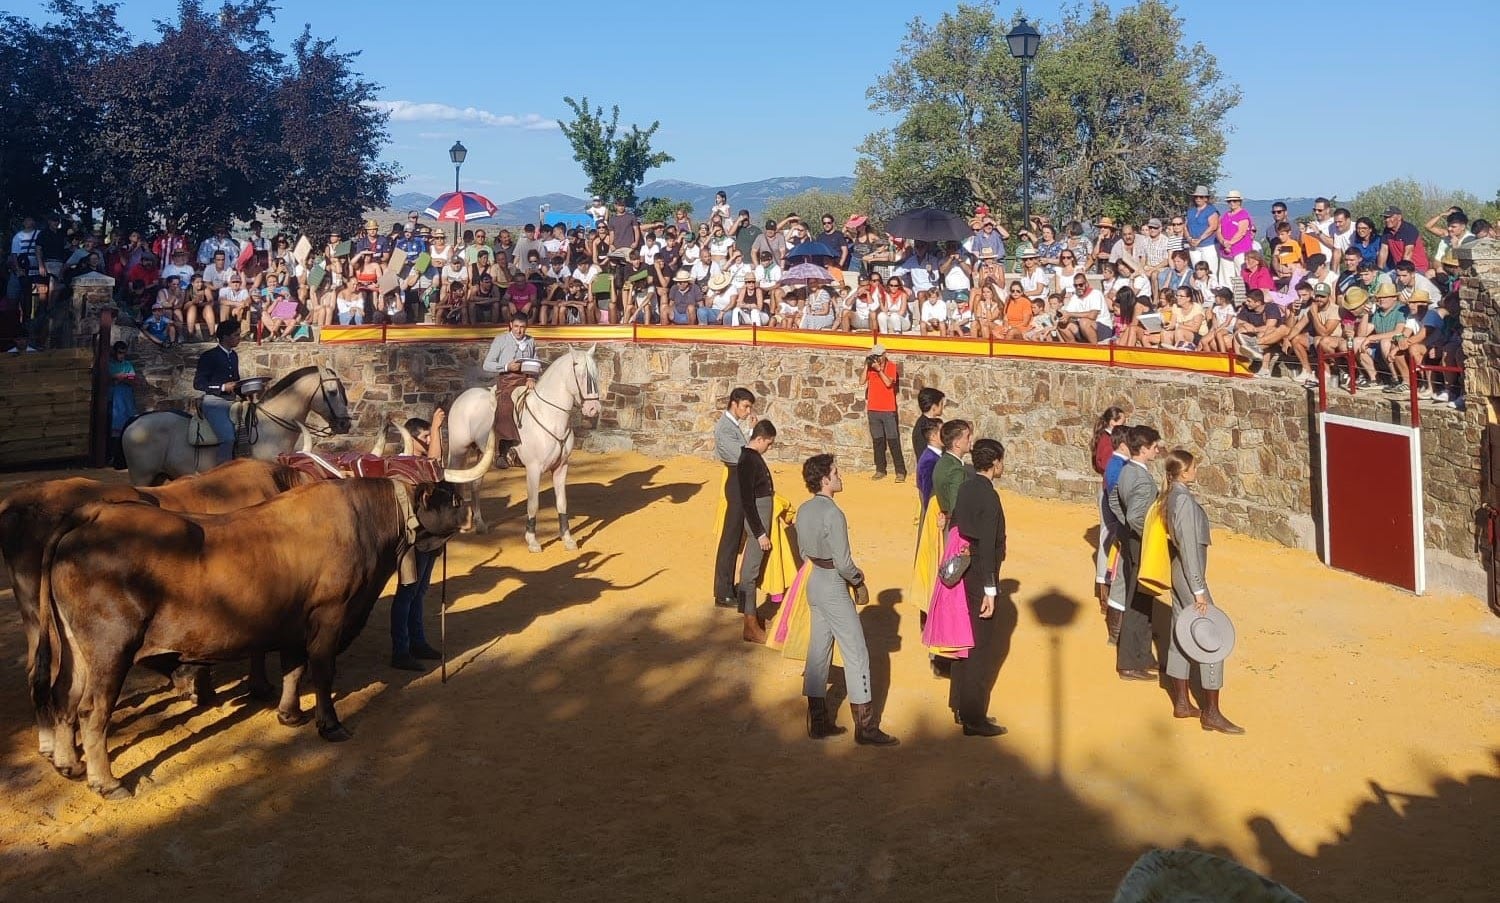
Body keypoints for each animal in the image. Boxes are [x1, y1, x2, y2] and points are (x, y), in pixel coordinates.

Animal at [33, 477, 468, 792]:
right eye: (451, 499)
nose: (469, 511)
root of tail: (94, 514)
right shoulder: (331, 616)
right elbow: (322, 672)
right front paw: (330, 725)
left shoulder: (295, 624)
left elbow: (293, 669)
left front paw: (290, 714)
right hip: (111, 649)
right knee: (92, 709)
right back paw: (107, 781)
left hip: (74, 649)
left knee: (63, 696)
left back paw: (67, 763)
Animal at [447, 340, 600, 546]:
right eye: (582, 375)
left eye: (596, 374)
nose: (593, 409)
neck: (548, 414)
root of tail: (463, 397)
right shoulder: (533, 469)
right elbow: (533, 504)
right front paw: (532, 540)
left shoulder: (561, 466)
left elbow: (562, 502)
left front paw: (567, 539)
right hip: (458, 450)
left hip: (481, 453)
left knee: (475, 484)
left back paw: (479, 524)